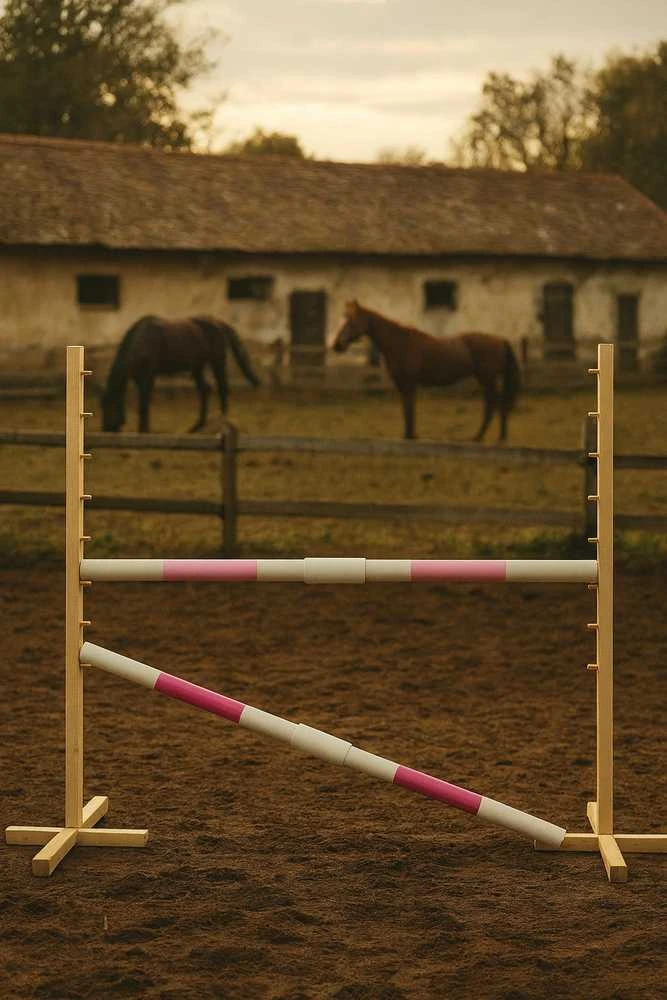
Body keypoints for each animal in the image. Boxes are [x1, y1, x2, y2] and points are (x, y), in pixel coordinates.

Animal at [101, 315, 261, 433]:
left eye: (110, 405)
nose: (106, 429)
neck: (142, 340)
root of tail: (218, 323)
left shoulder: (148, 376)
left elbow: (144, 402)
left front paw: (144, 430)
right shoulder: (137, 378)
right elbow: (142, 401)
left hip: (217, 362)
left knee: (222, 387)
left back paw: (222, 421)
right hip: (197, 367)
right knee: (205, 390)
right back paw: (197, 426)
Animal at [332, 301, 521, 441]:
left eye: (350, 321)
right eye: (342, 318)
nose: (336, 345)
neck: (399, 342)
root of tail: (500, 340)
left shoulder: (409, 384)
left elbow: (410, 410)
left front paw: (410, 436)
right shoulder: (402, 385)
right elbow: (407, 410)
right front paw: (408, 435)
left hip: (487, 379)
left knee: (493, 404)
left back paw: (481, 437)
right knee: (497, 404)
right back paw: (496, 437)